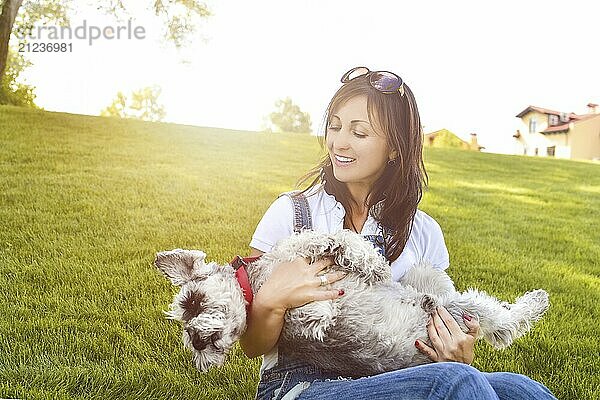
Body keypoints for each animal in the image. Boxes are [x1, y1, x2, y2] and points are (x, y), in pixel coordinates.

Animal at [154, 230, 548, 376]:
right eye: (187, 317)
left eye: (193, 302)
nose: (197, 344)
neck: (255, 284)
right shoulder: (289, 310)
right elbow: (307, 315)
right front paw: (320, 311)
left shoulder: (303, 252)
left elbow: (336, 239)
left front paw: (371, 264)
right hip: (458, 309)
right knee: (503, 324)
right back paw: (534, 304)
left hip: (444, 297)